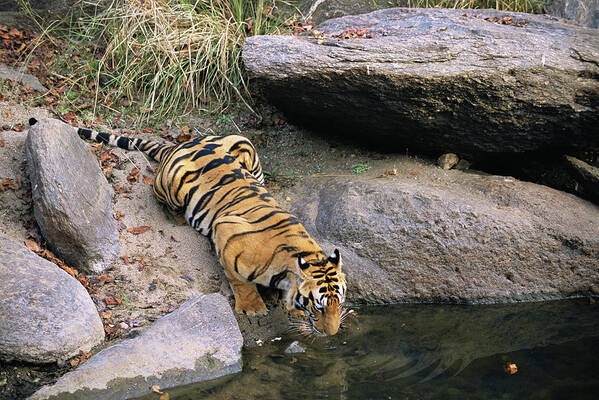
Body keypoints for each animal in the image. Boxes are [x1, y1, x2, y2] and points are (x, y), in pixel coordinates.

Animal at [28, 117, 350, 336]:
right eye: (319, 306)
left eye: (339, 303)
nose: (333, 333)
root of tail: (180, 143)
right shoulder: (226, 232)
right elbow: (239, 281)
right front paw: (254, 309)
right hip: (172, 184)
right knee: (161, 198)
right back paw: (179, 218)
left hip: (243, 143)